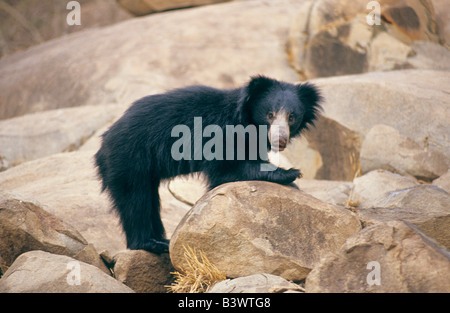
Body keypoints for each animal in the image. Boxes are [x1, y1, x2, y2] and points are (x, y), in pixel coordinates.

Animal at [95, 75, 322, 254]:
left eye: (292, 117)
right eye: (270, 114)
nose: (280, 140)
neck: (246, 121)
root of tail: (105, 140)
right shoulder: (220, 135)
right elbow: (227, 171)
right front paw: (290, 173)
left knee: (148, 199)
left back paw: (160, 238)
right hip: (130, 158)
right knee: (135, 199)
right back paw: (151, 243)